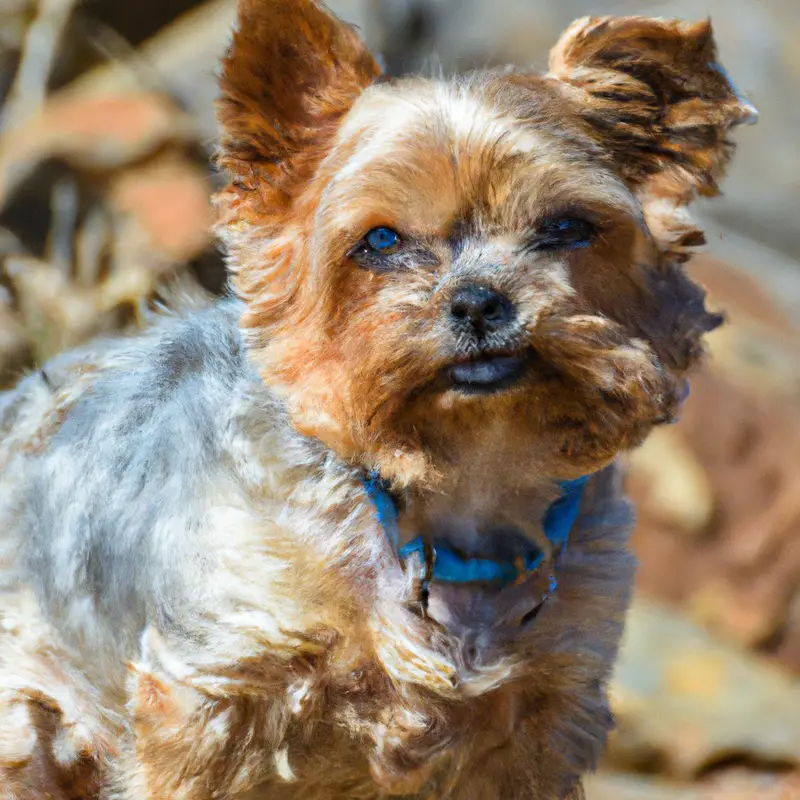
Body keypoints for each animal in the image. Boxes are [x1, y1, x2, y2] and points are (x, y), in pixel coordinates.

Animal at [0, 3, 756, 796]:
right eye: (381, 241)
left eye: (566, 228)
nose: (479, 301)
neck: (466, 480)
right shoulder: (206, 691)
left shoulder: (543, 713)